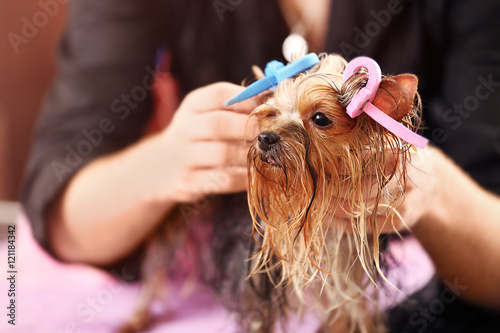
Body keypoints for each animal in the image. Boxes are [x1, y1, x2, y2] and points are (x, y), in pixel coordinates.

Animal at [121, 53, 422, 332]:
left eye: (320, 118)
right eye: (270, 115)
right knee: (156, 264)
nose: (265, 138)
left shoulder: (348, 262)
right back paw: (137, 316)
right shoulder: (258, 277)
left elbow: (347, 309)